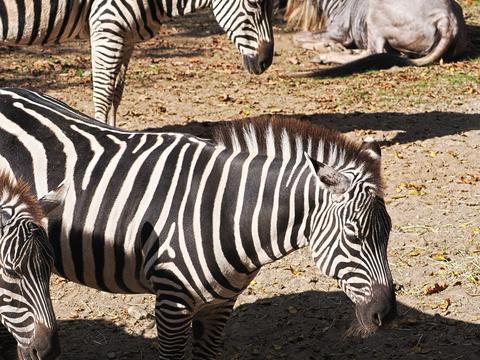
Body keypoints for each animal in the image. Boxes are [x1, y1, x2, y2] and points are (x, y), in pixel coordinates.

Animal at [0, 0, 274, 126]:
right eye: (254, 3)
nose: (266, 61)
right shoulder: (107, 27)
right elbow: (102, 95)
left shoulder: (126, 37)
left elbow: (115, 94)